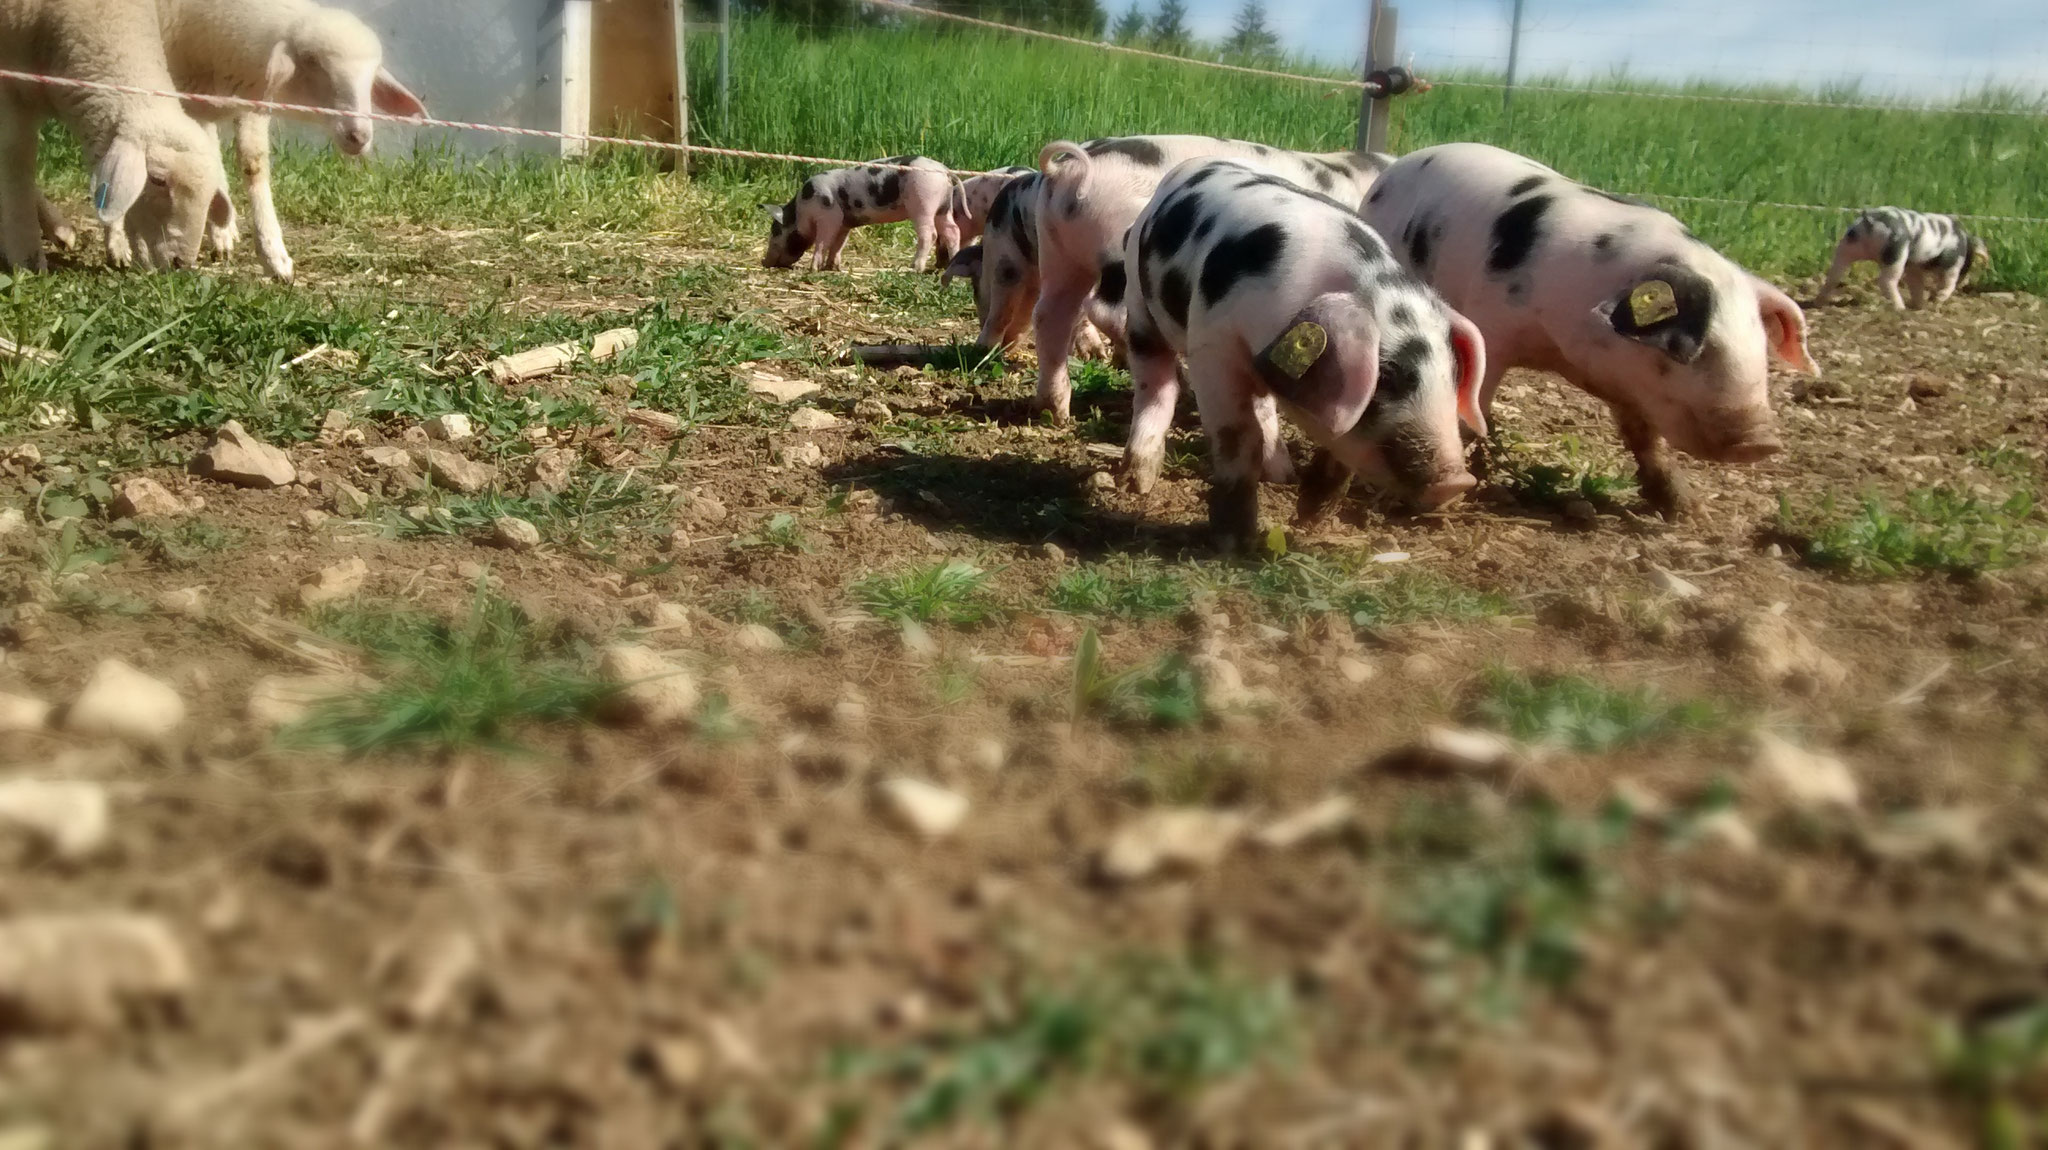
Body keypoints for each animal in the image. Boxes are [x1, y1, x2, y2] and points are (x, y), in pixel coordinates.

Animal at [0, 0, 232, 270]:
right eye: (157, 180)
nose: (181, 263)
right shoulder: (11, 93)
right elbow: (17, 163)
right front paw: (27, 257)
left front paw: (119, 245)